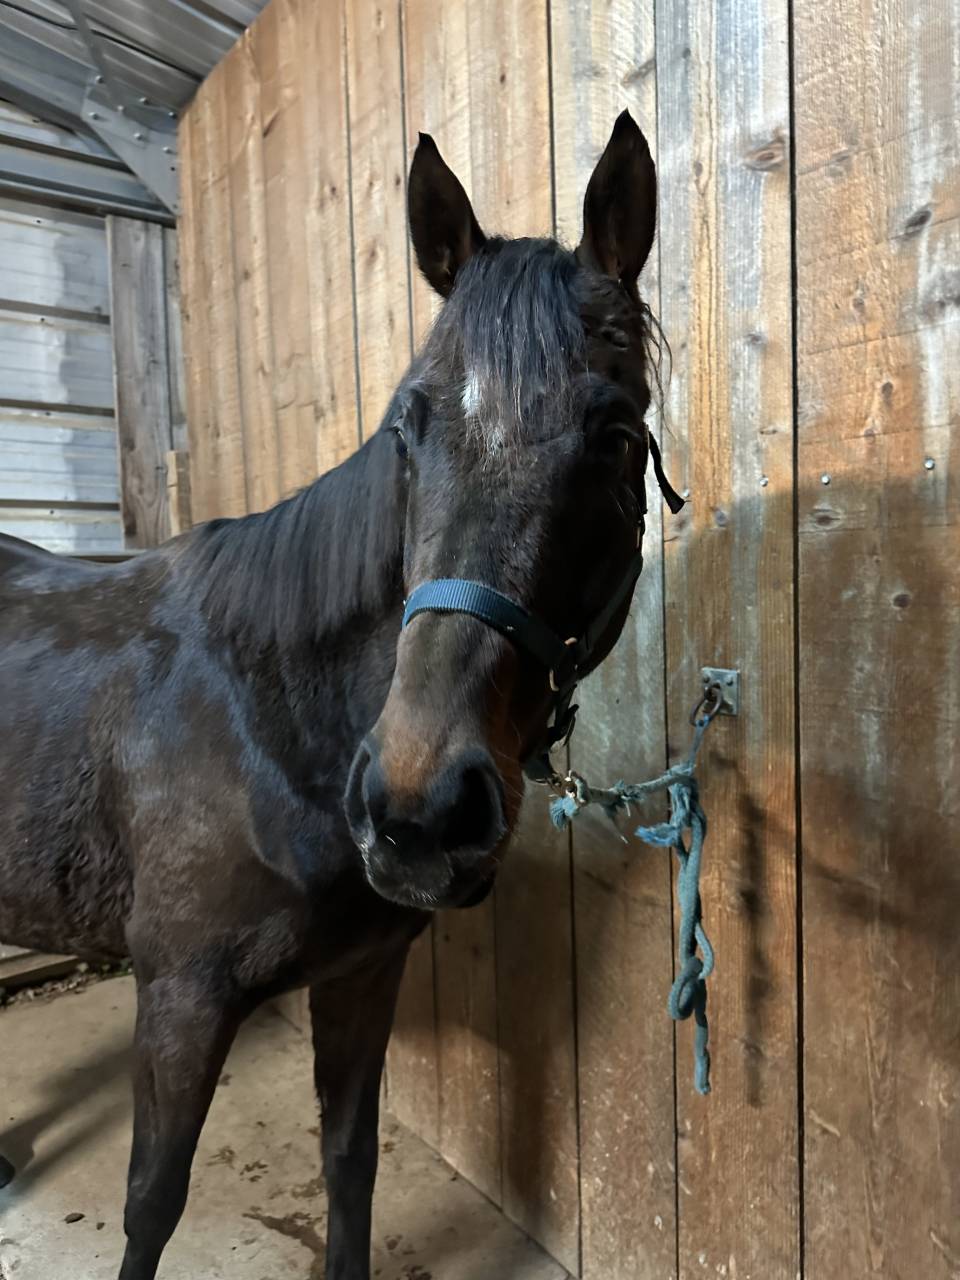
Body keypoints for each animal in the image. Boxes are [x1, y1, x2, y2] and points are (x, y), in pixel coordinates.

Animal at [0, 111, 677, 1280]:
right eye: (408, 428)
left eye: (618, 436)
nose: (416, 807)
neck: (266, 721)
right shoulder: (179, 996)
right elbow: (152, 1203)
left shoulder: (362, 975)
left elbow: (348, 1166)